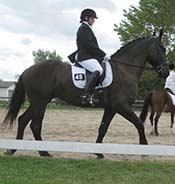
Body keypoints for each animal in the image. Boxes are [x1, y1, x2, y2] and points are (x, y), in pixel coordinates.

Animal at [2, 32, 169, 158]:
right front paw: (145, 150)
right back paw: (44, 152)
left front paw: (98, 153)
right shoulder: (121, 106)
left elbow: (103, 128)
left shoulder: (111, 108)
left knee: (23, 120)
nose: (166, 72)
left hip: (38, 102)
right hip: (40, 102)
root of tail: (28, 69)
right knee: (35, 125)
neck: (124, 70)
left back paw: (13, 149)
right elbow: (139, 124)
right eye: (162, 49)